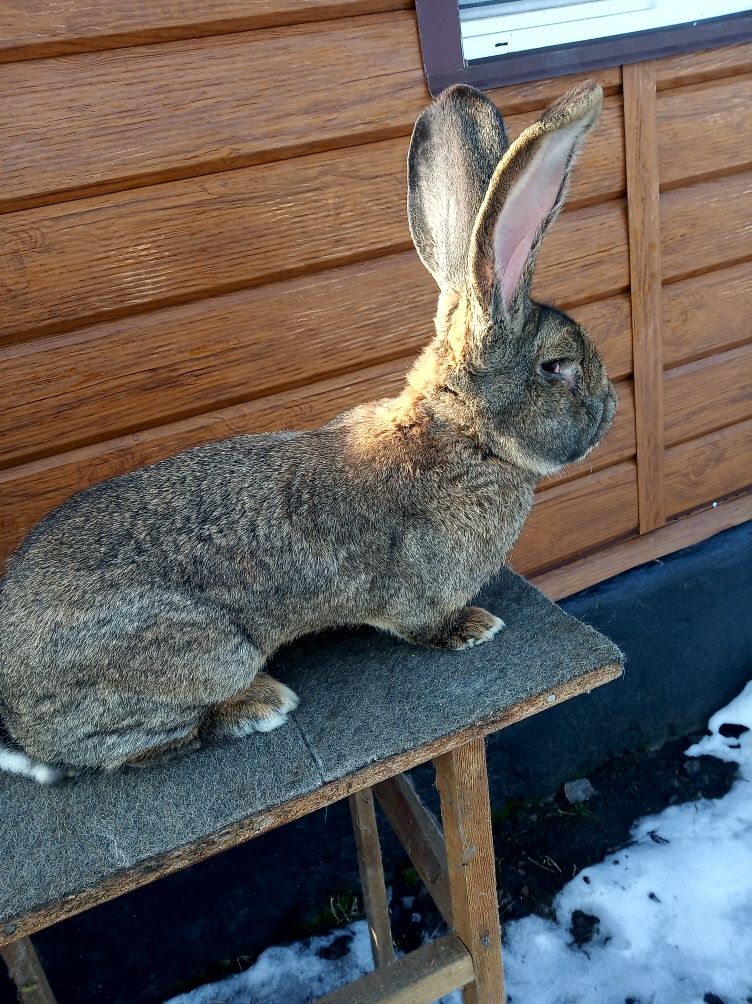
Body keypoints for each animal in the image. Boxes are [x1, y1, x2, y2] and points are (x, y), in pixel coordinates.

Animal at [0, 78, 614, 783]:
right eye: (557, 367)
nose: (609, 408)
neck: (463, 438)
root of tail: (16, 715)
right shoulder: (417, 592)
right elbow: (422, 623)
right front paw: (474, 627)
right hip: (205, 653)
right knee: (137, 745)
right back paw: (260, 705)